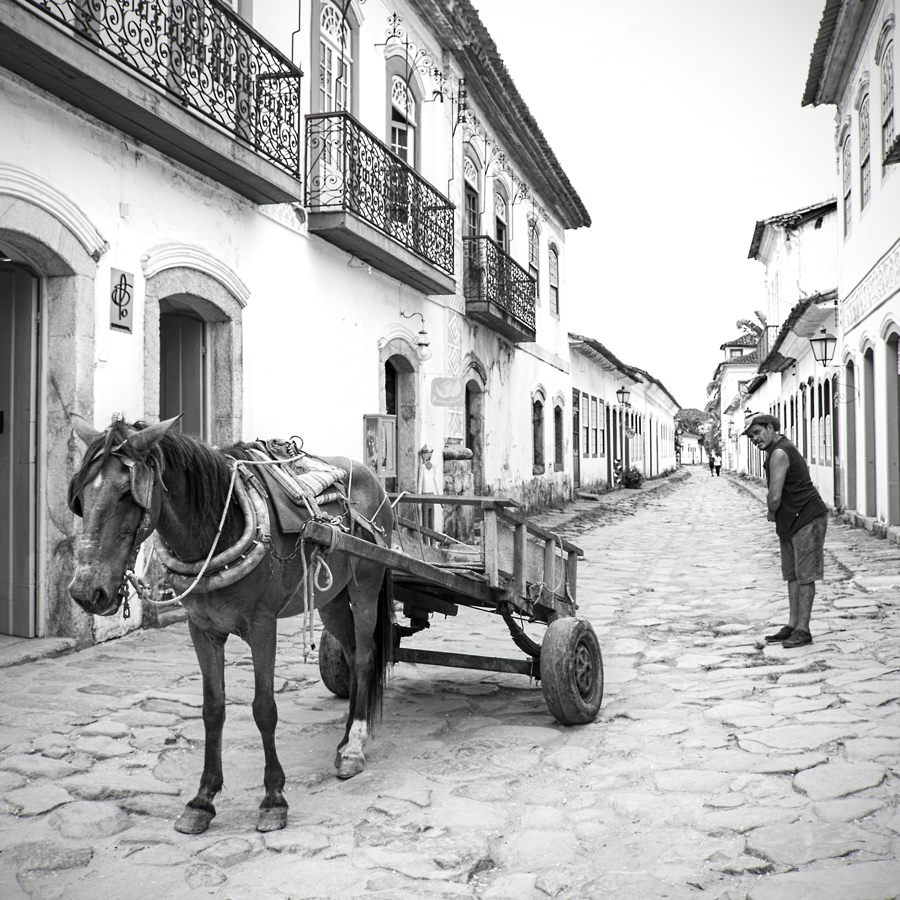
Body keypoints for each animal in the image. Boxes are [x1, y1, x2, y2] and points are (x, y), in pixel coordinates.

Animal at [67, 418, 394, 832]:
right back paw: (346, 738)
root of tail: (374, 477)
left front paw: (273, 798)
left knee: (365, 659)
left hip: (366, 583)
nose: (86, 592)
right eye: (79, 497)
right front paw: (202, 800)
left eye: (128, 493)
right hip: (331, 598)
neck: (217, 532)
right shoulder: (202, 629)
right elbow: (213, 709)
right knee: (350, 655)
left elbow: (264, 708)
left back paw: (355, 745)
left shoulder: (262, 626)